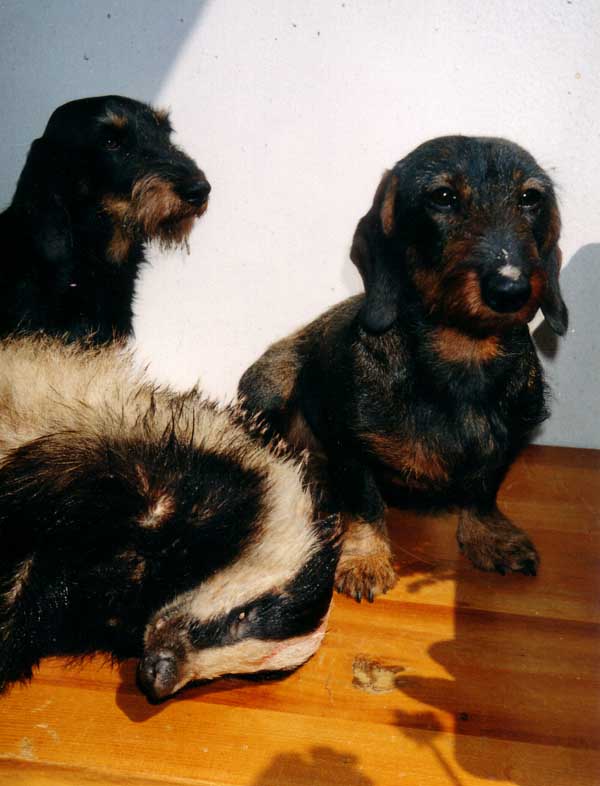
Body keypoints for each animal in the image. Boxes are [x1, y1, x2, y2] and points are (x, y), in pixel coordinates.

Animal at [239, 135, 568, 602]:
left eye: (530, 198)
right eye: (442, 197)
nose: (510, 288)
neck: (462, 356)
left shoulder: (511, 440)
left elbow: (484, 491)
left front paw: (489, 537)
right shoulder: (349, 447)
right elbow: (366, 504)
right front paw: (366, 559)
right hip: (268, 385)